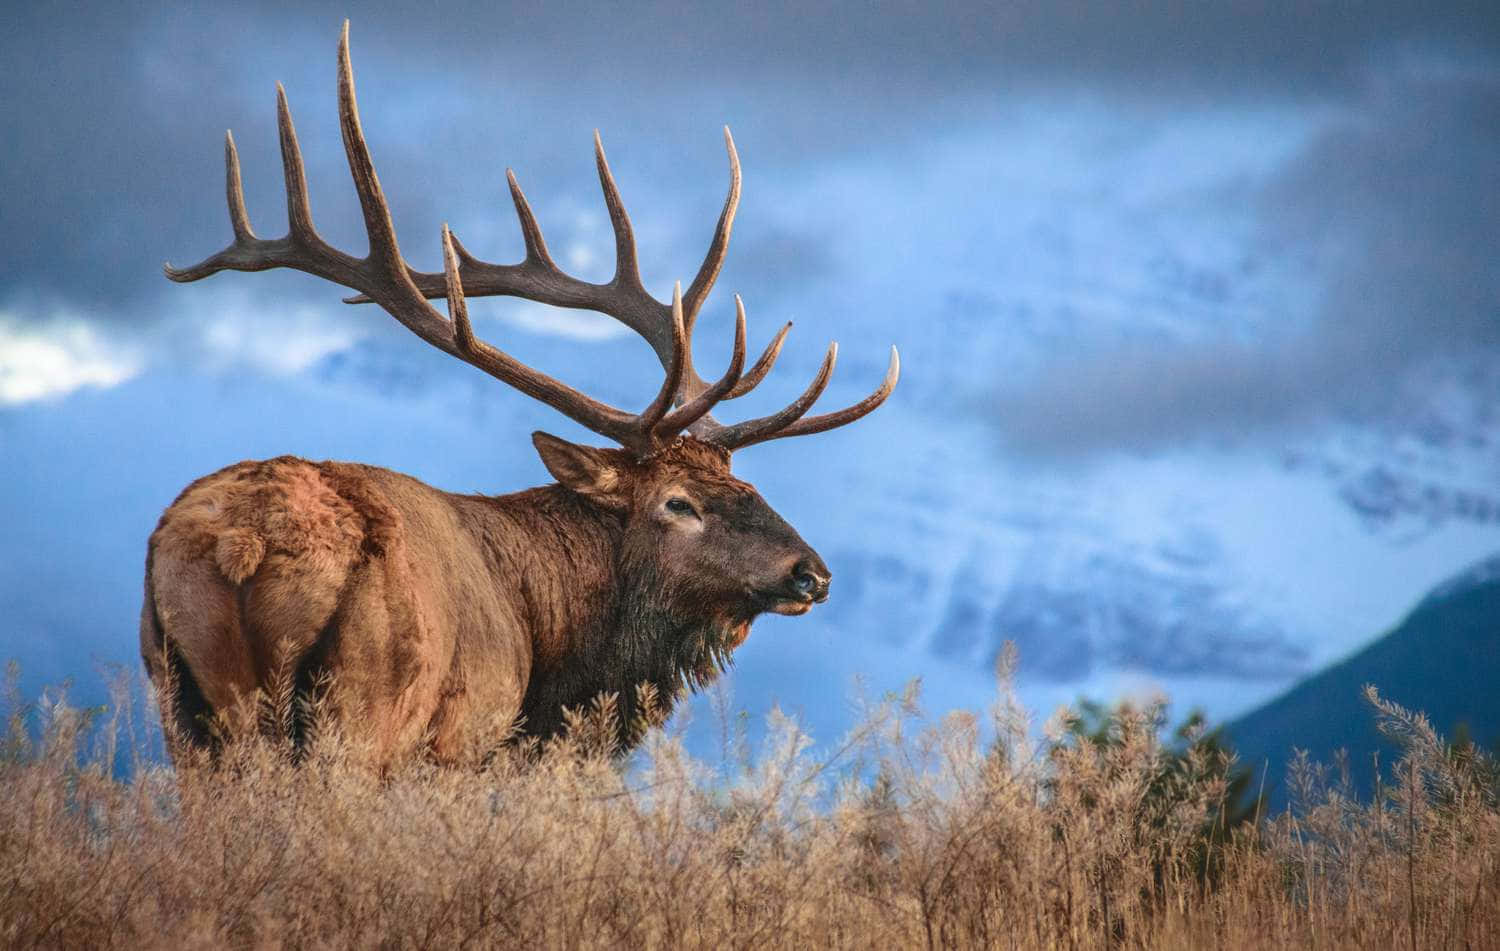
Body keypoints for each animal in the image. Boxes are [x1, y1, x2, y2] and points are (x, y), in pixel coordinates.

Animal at [142, 24, 898, 766]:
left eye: (748, 487)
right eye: (677, 502)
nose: (811, 573)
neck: (551, 656)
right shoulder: (463, 738)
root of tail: (244, 545)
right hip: (362, 707)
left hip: (181, 704)